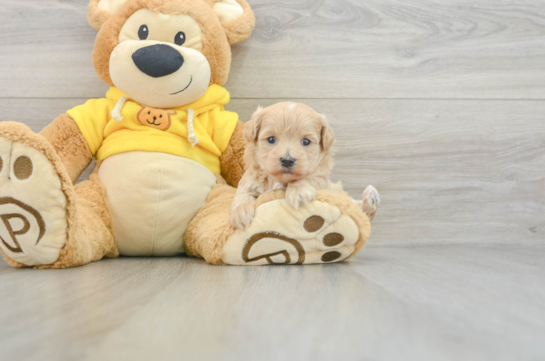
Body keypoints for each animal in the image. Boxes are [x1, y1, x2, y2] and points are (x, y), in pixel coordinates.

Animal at [228, 101, 378, 228]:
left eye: (306, 142)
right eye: (271, 139)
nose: (287, 160)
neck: (280, 180)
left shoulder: (320, 180)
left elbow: (308, 177)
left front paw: (298, 191)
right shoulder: (250, 178)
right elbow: (243, 191)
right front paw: (240, 212)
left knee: (360, 211)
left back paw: (371, 199)